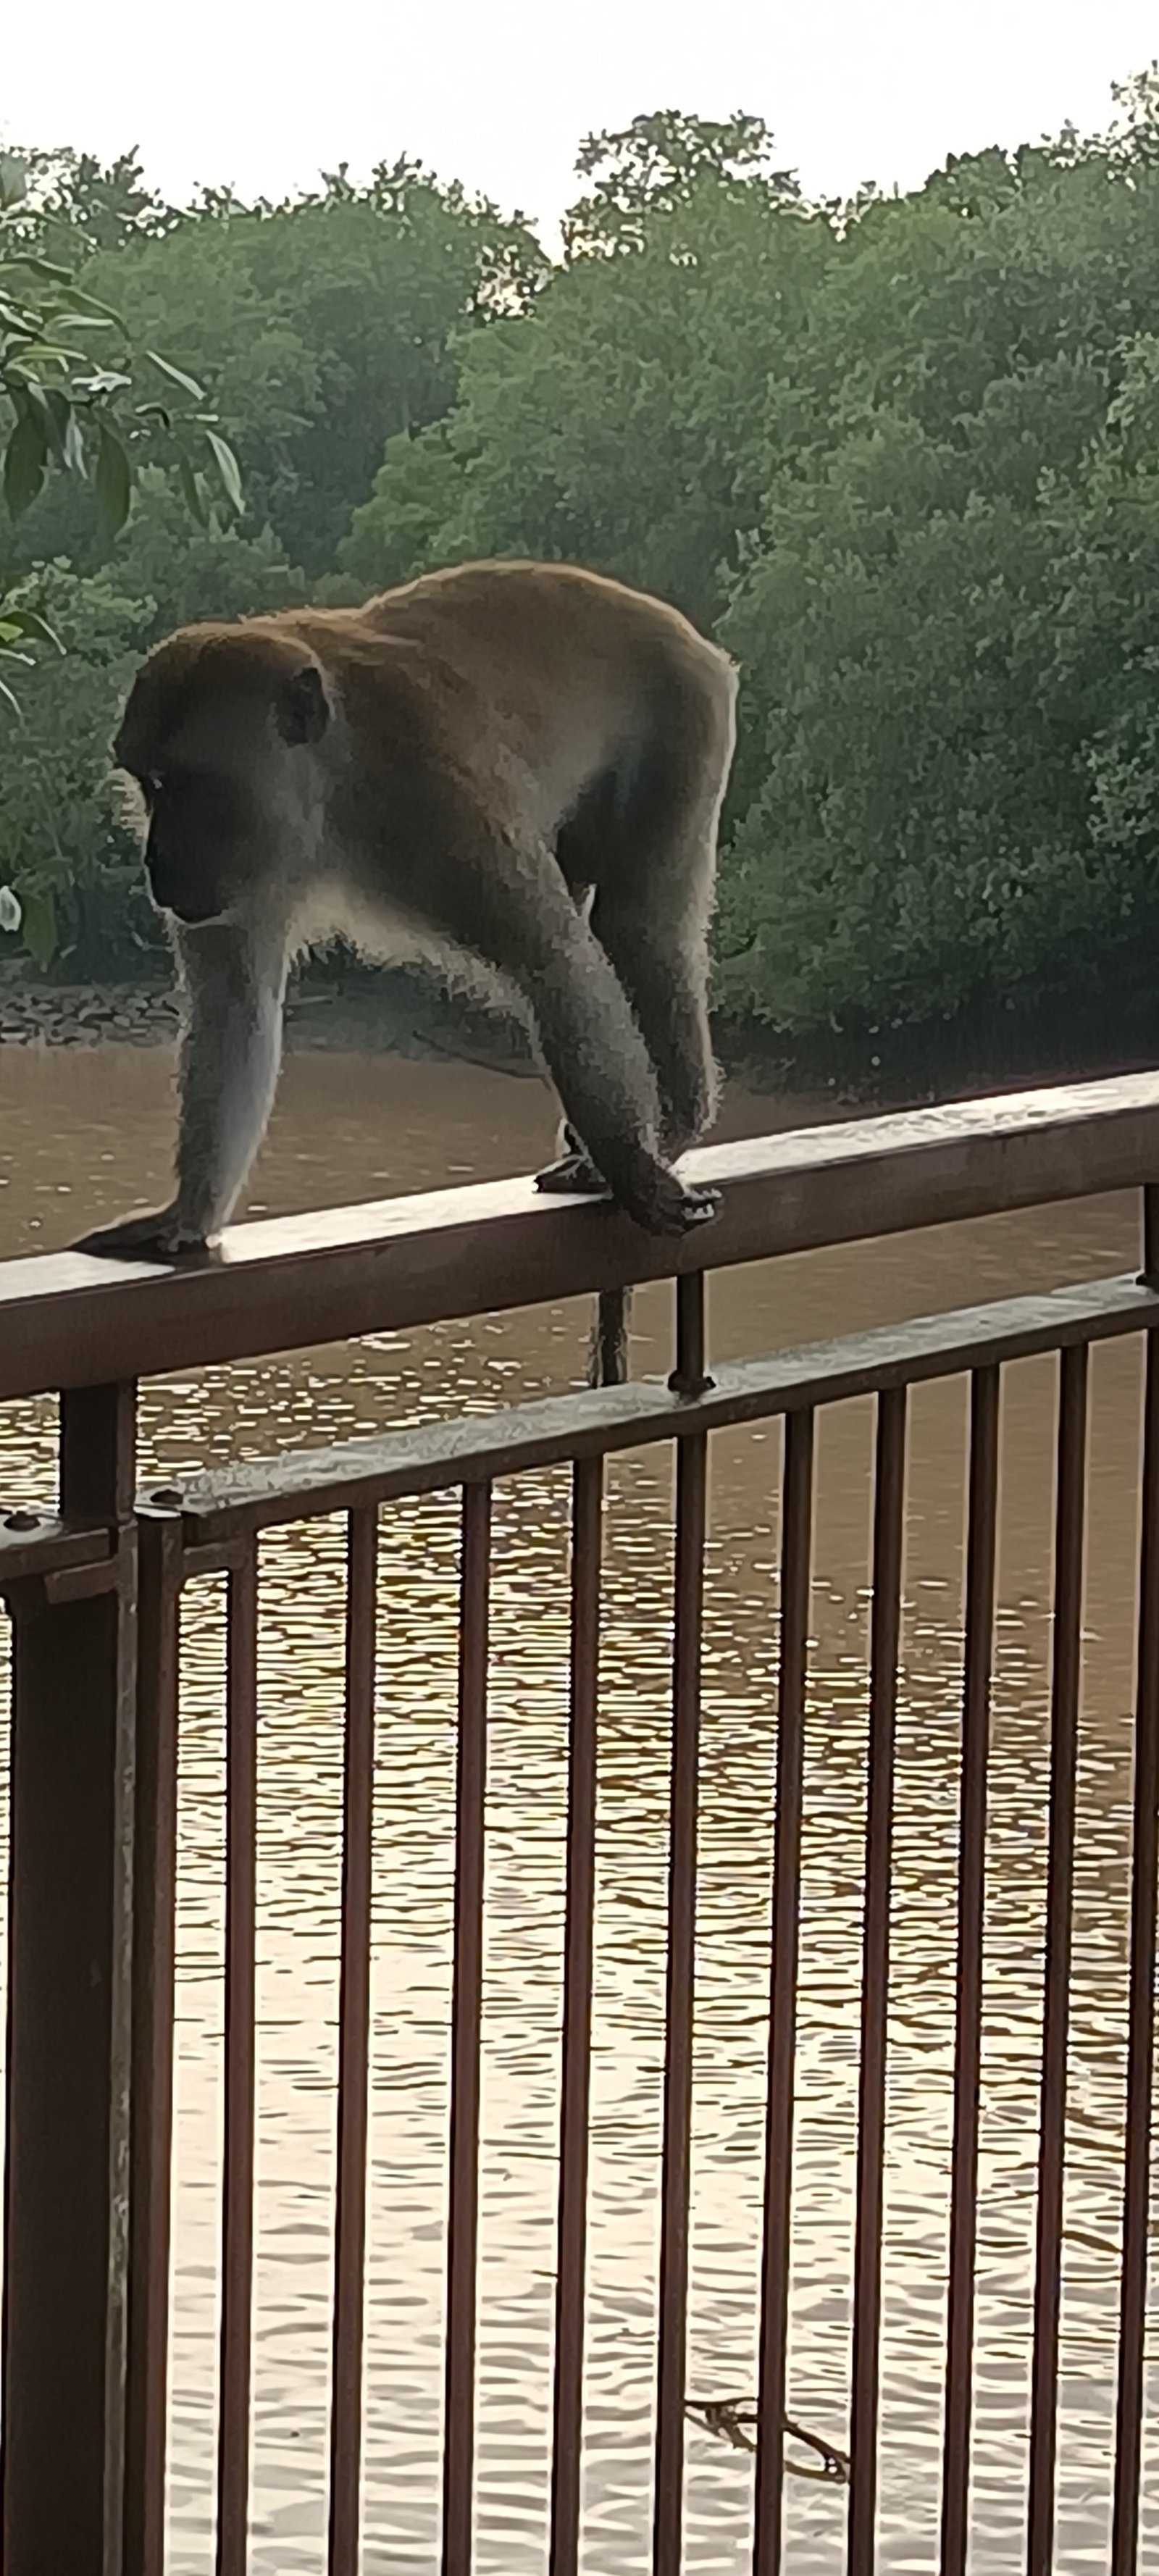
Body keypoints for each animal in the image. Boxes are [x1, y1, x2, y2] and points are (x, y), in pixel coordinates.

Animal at [73, 560, 738, 1266]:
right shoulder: (240, 881)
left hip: (686, 714)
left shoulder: (436, 803)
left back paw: (675, 1122)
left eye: (188, 785)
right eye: (149, 785)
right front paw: (187, 1216)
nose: (156, 859)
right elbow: (233, 1006)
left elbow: (551, 961)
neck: (334, 777)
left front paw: (629, 1163)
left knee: (640, 929)